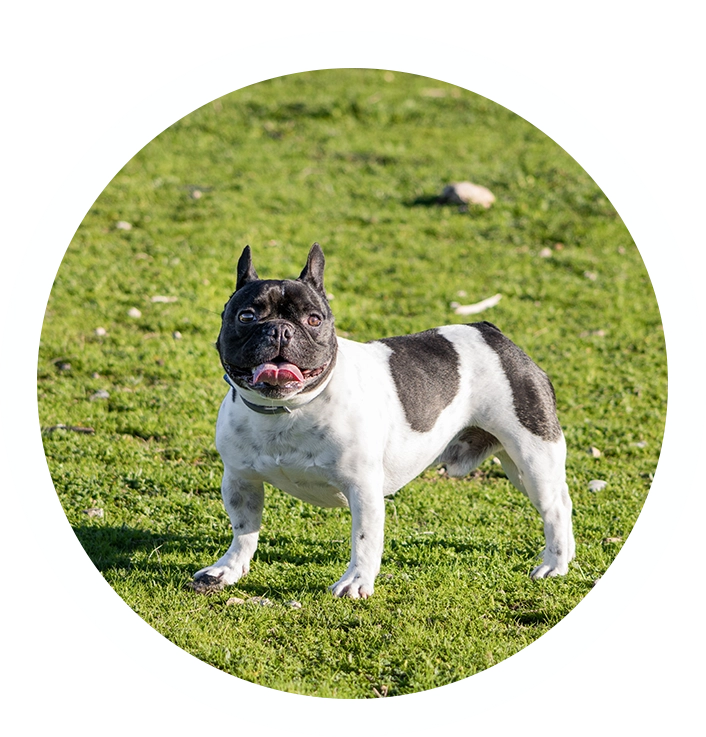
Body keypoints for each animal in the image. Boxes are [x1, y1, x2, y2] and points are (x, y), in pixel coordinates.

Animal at [191, 243, 572, 600]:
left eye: (314, 320)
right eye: (246, 316)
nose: (280, 330)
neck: (288, 409)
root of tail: (492, 333)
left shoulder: (363, 489)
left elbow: (365, 538)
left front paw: (356, 582)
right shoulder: (241, 480)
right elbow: (244, 530)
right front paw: (228, 569)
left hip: (533, 453)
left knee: (553, 507)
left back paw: (553, 564)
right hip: (518, 466)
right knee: (559, 500)